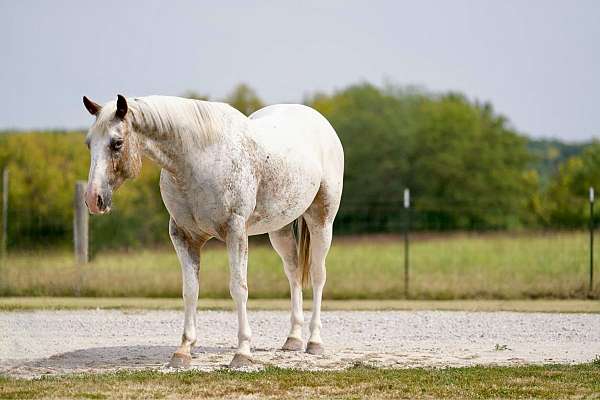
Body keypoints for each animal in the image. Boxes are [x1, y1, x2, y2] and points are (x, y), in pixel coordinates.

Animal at [81, 94, 342, 368]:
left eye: (117, 143)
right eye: (89, 143)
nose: (92, 199)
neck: (198, 159)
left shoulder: (235, 232)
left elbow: (238, 288)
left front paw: (242, 353)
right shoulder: (183, 237)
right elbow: (190, 291)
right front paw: (183, 350)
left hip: (321, 221)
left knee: (317, 275)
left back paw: (314, 342)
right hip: (279, 230)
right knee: (293, 274)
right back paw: (293, 339)